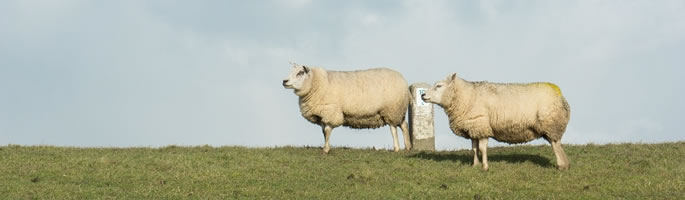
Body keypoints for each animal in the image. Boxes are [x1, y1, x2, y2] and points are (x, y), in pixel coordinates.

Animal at [422, 73, 572, 170]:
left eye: (439, 86)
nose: (423, 95)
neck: (467, 96)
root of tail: (562, 97)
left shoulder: (482, 125)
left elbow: (482, 148)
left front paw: (485, 167)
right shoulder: (474, 127)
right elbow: (474, 148)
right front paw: (475, 165)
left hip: (551, 123)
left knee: (555, 145)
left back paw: (561, 165)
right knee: (557, 144)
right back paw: (565, 164)